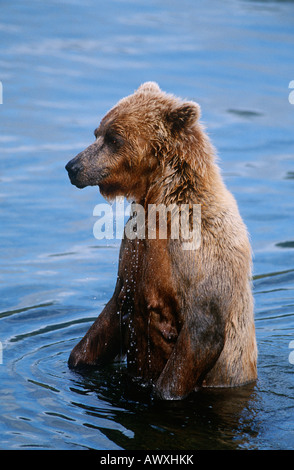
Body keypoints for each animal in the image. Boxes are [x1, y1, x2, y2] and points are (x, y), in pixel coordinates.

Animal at [65, 81, 258, 400]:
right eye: (97, 132)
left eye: (114, 138)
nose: (73, 166)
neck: (158, 205)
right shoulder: (132, 249)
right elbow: (113, 309)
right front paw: (79, 358)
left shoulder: (200, 252)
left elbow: (201, 330)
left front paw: (164, 392)